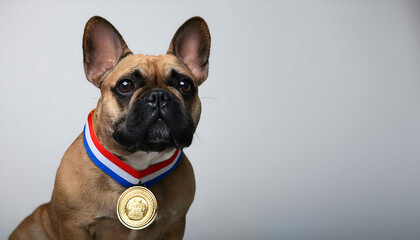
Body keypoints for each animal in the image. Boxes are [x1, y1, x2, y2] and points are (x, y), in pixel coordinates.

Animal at [10, 15, 210, 240]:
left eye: (185, 85)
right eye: (125, 85)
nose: (159, 96)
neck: (138, 166)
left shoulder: (174, 224)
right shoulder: (74, 226)